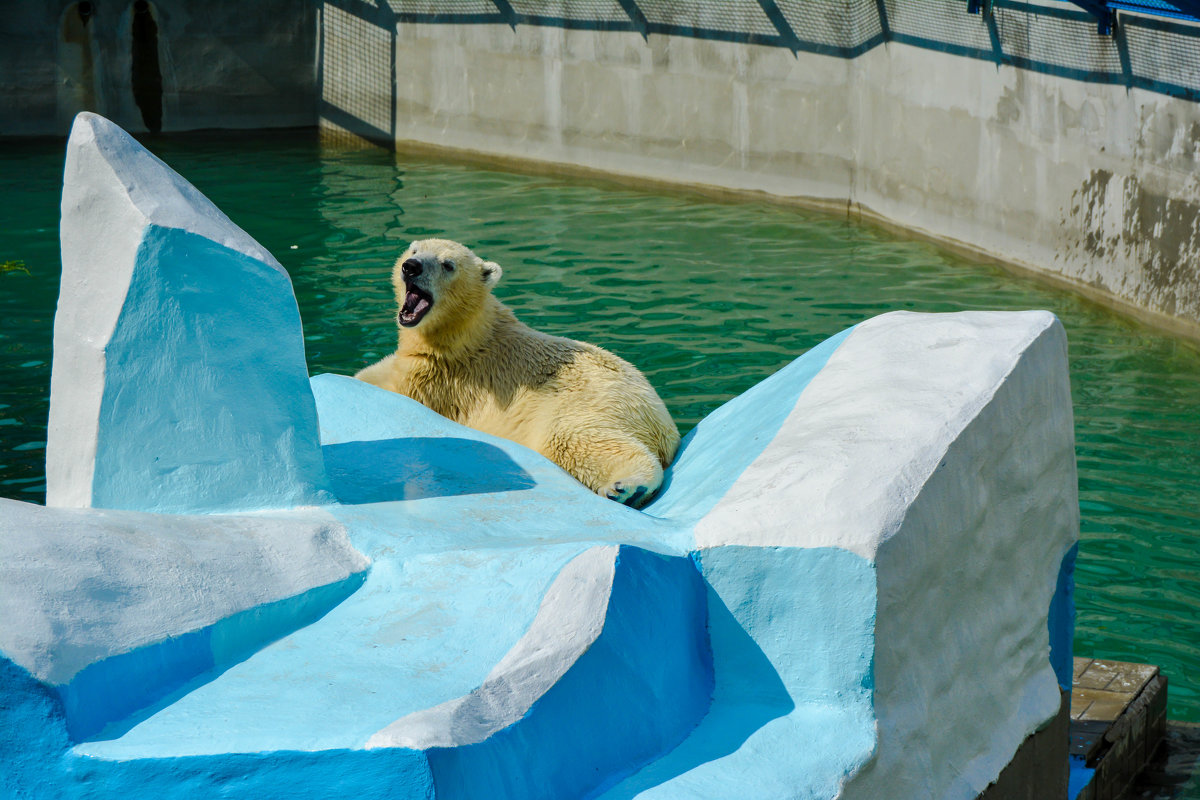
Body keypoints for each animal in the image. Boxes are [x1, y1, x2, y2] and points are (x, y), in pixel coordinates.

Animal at [350, 237, 681, 510]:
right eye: (414, 251)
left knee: (575, 439)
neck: (468, 334)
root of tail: (662, 425)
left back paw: (627, 487)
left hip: (593, 402)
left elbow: (389, 384)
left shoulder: (442, 379)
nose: (411, 267)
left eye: (447, 264)